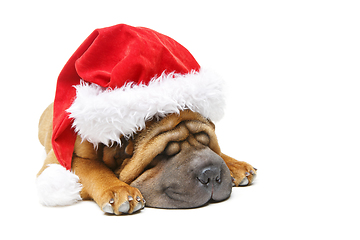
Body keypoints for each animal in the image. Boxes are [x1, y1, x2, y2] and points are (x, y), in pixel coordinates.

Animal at [37, 102, 256, 215]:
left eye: (207, 142)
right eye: (163, 154)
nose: (211, 174)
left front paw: (235, 165)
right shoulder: (59, 159)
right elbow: (93, 169)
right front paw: (120, 191)